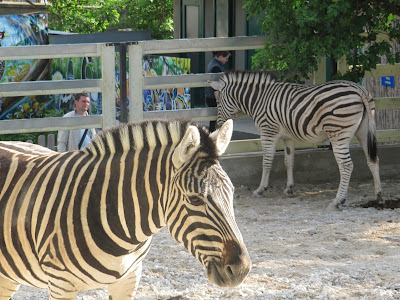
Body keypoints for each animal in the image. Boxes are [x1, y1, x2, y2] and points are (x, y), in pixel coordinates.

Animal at [208, 70, 382, 210]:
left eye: (218, 102)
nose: (218, 126)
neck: (259, 99)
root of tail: (359, 89)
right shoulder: (288, 137)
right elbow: (289, 161)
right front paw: (289, 189)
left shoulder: (268, 132)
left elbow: (267, 162)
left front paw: (261, 189)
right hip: (363, 131)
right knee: (372, 160)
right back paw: (378, 196)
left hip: (338, 133)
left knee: (346, 166)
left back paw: (338, 200)